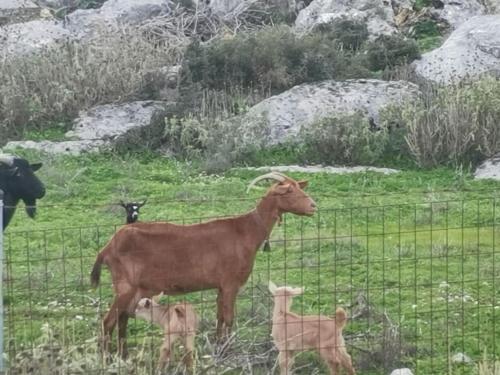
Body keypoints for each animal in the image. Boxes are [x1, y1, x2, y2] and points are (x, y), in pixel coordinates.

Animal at [90, 172, 316, 356]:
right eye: (288, 191)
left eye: (299, 186)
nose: (313, 206)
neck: (246, 231)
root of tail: (107, 248)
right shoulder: (231, 283)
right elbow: (229, 317)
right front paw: (228, 349)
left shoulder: (220, 286)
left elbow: (219, 316)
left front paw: (218, 345)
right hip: (125, 286)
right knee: (108, 321)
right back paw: (107, 358)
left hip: (136, 289)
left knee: (122, 318)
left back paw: (123, 355)